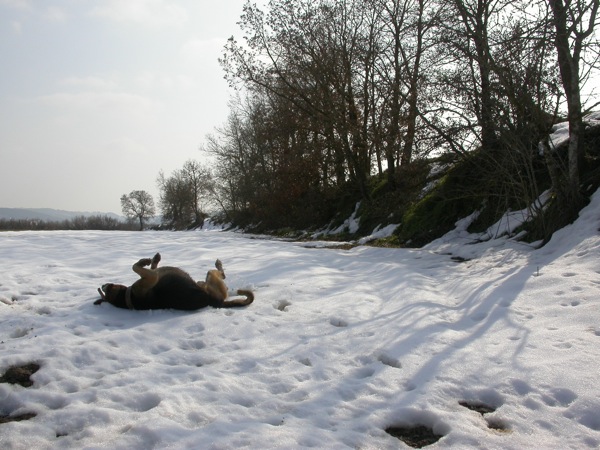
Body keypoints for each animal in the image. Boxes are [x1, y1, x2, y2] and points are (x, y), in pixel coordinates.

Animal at [95, 251, 253, 312]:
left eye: (105, 290)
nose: (103, 285)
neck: (128, 298)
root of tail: (218, 303)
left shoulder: (153, 275)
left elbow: (152, 266)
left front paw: (152, 259)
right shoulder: (151, 278)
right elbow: (136, 267)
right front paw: (144, 261)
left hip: (204, 282)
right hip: (211, 278)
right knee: (222, 274)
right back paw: (218, 264)